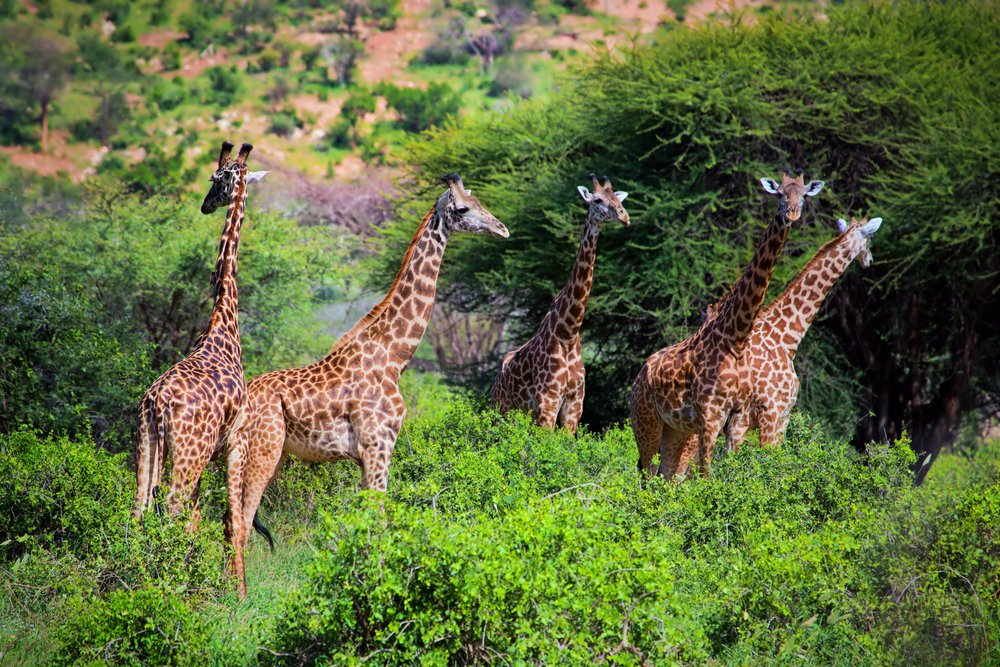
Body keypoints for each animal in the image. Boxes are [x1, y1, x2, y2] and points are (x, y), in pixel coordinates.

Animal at [133, 140, 268, 580]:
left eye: (217, 180)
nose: (206, 205)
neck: (223, 321)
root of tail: (157, 404)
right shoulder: (235, 440)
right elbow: (233, 519)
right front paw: (235, 590)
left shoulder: (217, 449)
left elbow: (204, 517)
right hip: (190, 452)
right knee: (172, 507)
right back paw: (171, 580)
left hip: (148, 442)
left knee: (141, 507)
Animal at [227, 174, 508, 596]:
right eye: (462, 209)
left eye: (479, 202)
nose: (502, 229)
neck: (395, 356)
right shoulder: (379, 445)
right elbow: (378, 521)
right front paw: (375, 591)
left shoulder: (366, 455)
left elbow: (364, 522)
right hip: (263, 450)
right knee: (241, 521)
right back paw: (240, 599)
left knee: (229, 519)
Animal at [490, 174, 628, 434]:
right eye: (597, 200)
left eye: (618, 199)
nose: (625, 217)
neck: (568, 333)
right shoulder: (548, 401)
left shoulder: (575, 404)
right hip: (501, 409)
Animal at [628, 170, 824, 478]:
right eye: (780, 194)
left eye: (803, 195)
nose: (791, 214)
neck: (735, 338)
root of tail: (638, 377)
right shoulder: (711, 416)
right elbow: (708, 475)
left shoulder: (738, 416)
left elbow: (730, 472)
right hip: (646, 420)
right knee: (647, 473)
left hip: (675, 428)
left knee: (666, 474)